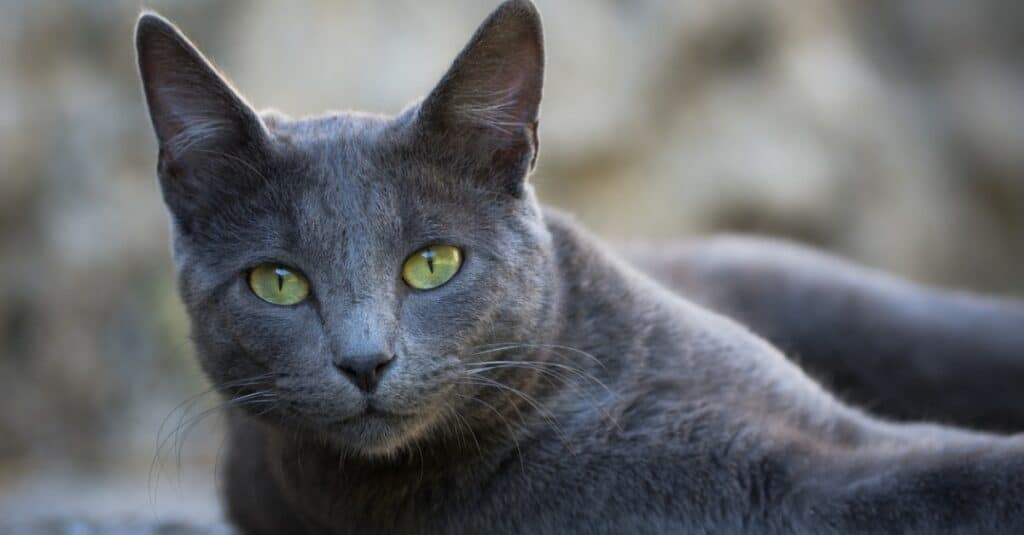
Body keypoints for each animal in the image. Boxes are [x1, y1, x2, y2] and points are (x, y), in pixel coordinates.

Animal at [136, 2, 1024, 528]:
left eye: (433, 263)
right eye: (277, 281)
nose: (364, 359)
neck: (584, 380)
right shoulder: (771, 489)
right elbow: (935, 482)